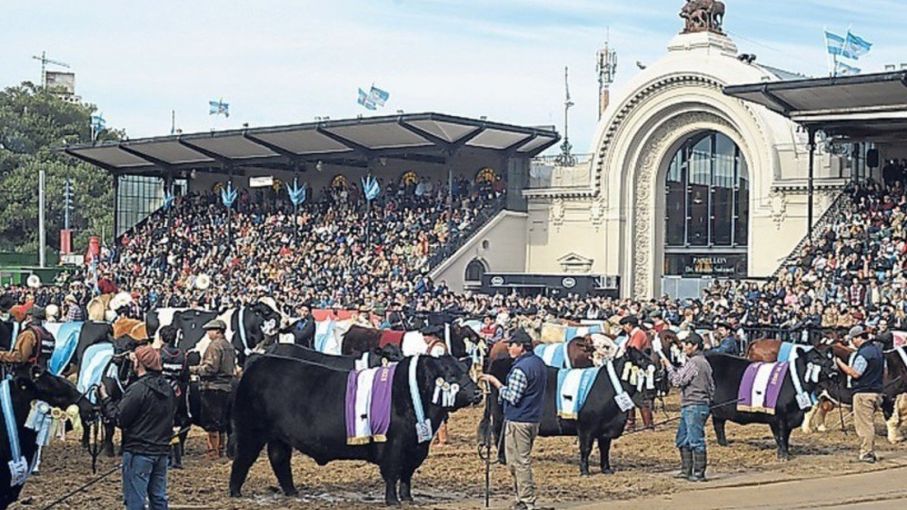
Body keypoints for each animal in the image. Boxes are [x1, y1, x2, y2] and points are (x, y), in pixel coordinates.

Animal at [229, 354, 482, 506]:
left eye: (466, 371)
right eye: (451, 375)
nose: (478, 392)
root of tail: (259, 362)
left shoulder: (416, 447)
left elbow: (407, 475)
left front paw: (408, 499)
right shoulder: (393, 445)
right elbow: (392, 473)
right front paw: (393, 501)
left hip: (279, 437)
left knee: (279, 460)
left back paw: (293, 492)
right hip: (250, 431)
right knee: (243, 459)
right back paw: (235, 493)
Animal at [476, 348, 660, 476]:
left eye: (649, 359)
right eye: (640, 360)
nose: (657, 373)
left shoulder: (606, 428)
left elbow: (604, 449)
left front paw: (607, 469)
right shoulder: (586, 426)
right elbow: (586, 448)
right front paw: (584, 471)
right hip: (499, 416)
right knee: (497, 434)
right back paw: (502, 459)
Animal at [712, 348, 840, 460]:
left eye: (830, 358)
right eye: (816, 358)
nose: (834, 370)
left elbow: (785, 437)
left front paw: (786, 453)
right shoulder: (779, 416)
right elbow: (781, 436)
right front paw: (783, 456)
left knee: (718, 424)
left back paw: (724, 444)